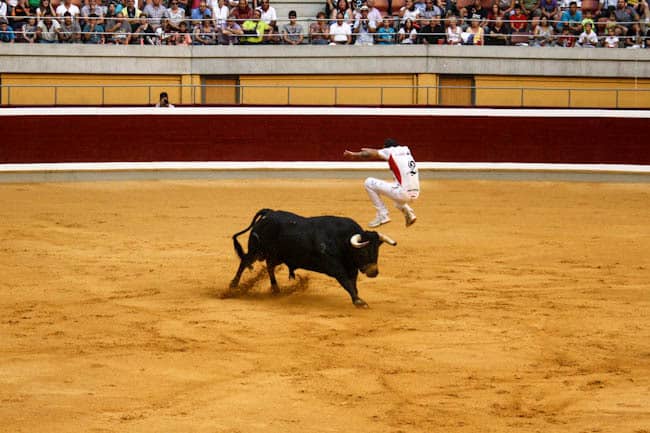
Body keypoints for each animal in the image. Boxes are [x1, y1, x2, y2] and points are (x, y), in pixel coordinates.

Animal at [230, 209, 398, 308]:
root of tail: (269, 213)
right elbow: (346, 282)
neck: (342, 240)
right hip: (256, 250)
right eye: (363, 252)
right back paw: (233, 286)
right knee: (245, 261)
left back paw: (276, 289)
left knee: (269, 266)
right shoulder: (336, 268)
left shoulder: (352, 268)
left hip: (276, 255)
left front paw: (356, 298)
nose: (373, 272)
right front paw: (359, 301)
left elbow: (353, 283)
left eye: (376, 251)